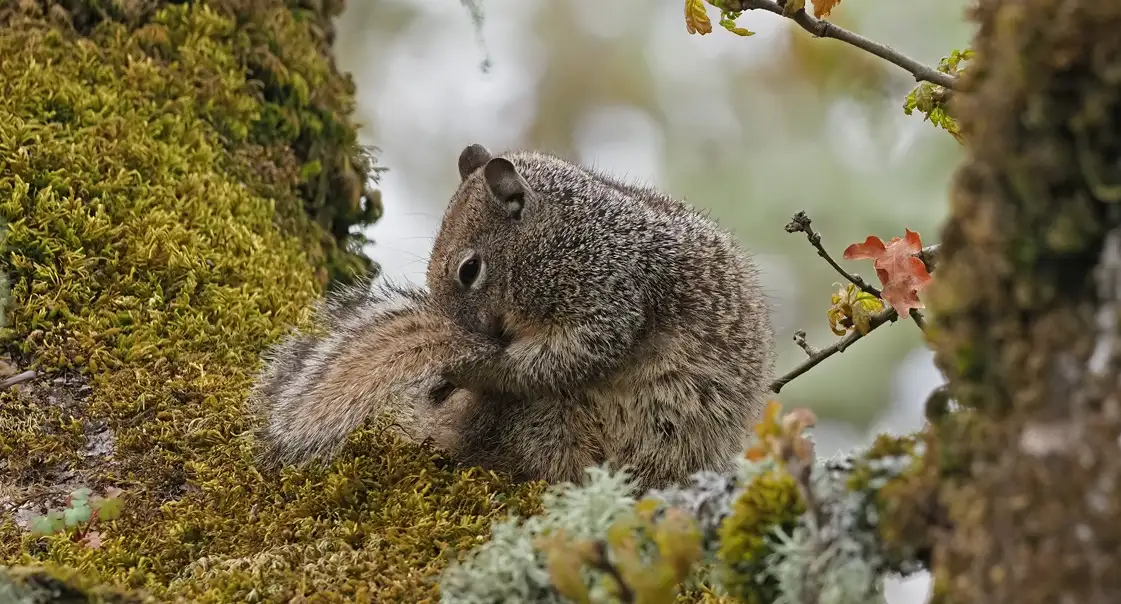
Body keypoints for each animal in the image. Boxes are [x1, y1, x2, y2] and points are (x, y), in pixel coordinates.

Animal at [246, 144, 775, 493]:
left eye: (469, 270)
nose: (462, 334)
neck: (561, 233)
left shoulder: (607, 290)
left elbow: (564, 356)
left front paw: (472, 366)